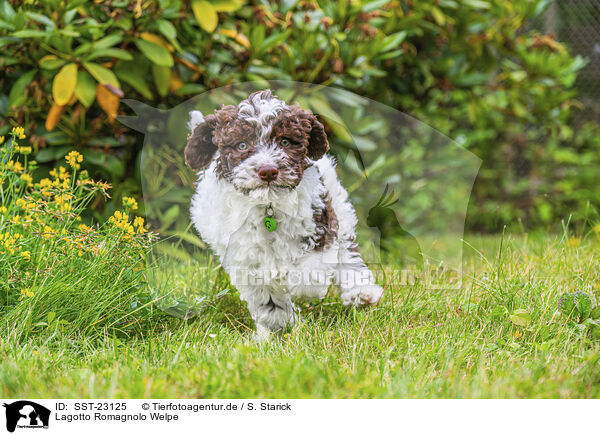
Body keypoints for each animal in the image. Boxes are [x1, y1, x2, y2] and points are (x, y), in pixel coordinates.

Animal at [188, 89, 382, 340]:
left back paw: (361, 292)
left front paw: (302, 287)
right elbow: (267, 298)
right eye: (241, 145)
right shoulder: (244, 258)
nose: (268, 171)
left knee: (347, 253)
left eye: (285, 142)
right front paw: (275, 327)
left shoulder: (320, 222)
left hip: (339, 207)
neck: (268, 206)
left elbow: (311, 274)